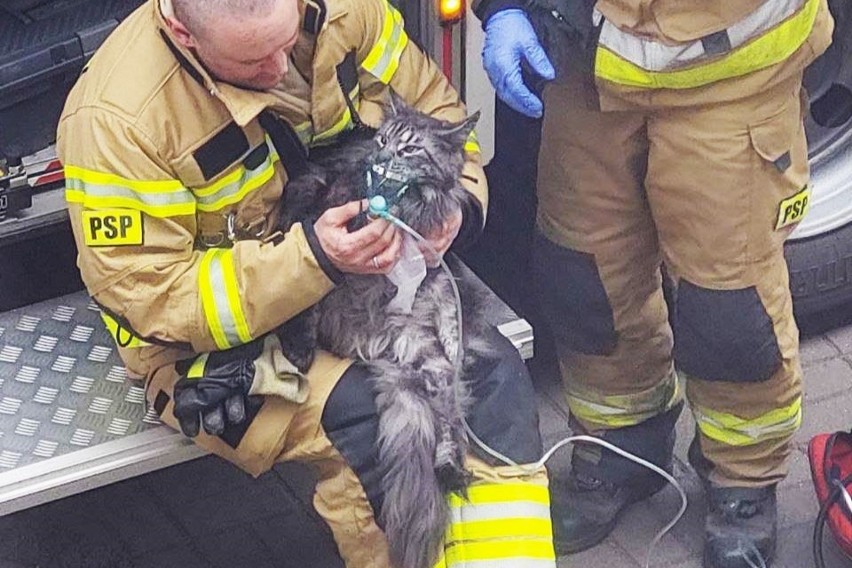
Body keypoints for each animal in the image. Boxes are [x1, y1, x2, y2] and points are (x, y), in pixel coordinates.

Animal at [276, 93, 490, 568]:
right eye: (382, 140)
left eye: (410, 149)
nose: (381, 157)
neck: (400, 208)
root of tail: (383, 346)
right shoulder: (316, 214)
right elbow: (307, 294)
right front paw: (298, 349)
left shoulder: (435, 266)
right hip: (420, 351)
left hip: (432, 350)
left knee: (449, 409)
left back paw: (449, 465)